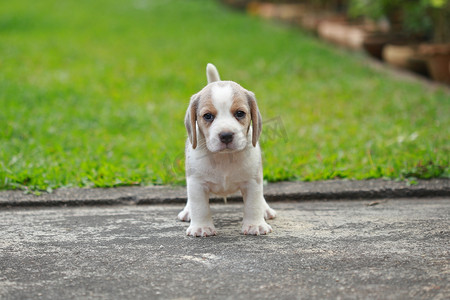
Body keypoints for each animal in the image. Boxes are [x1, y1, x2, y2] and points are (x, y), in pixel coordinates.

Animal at [178, 63, 276, 237]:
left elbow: (253, 204)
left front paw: (255, 224)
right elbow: (200, 207)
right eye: (208, 116)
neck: (224, 158)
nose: (226, 135)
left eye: (240, 113)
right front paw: (201, 227)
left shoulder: (253, 181)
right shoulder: (196, 183)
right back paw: (188, 211)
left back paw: (266, 209)